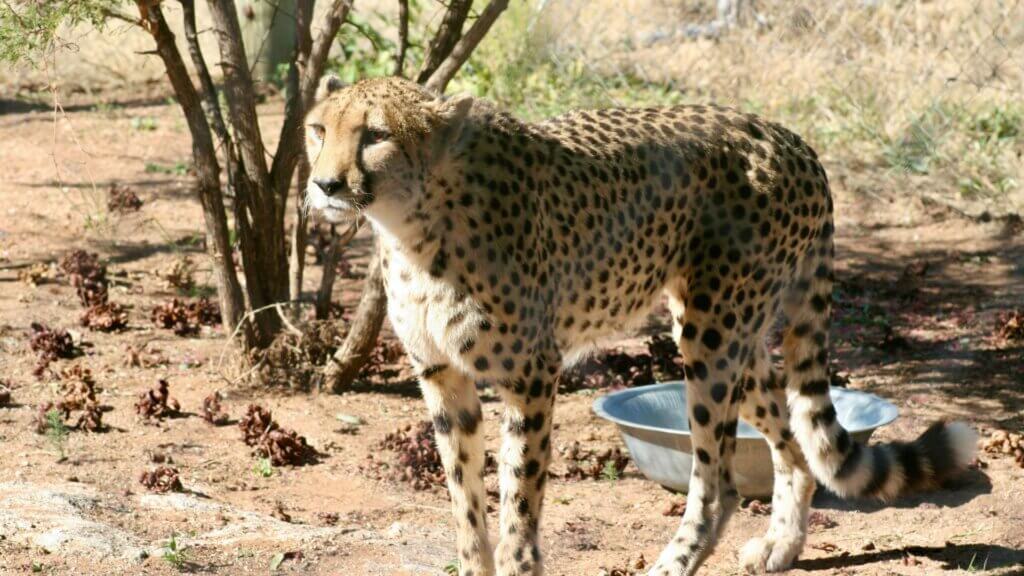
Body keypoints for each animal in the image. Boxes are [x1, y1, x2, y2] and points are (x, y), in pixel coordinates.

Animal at [303, 75, 978, 576]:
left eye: (375, 135)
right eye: (318, 129)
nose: (323, 183)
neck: (413, 222)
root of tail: (787, 136)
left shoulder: (531, 377)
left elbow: (517, 505)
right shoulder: (442, 377)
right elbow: (466, 505)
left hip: (713, 336)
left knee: (720, 482)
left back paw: (678, 561)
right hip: (732, 334)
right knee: (792, 446)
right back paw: (780, 548)